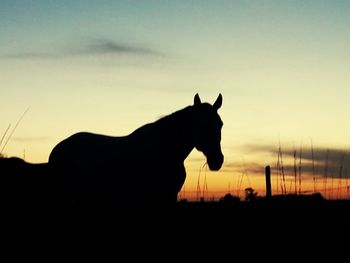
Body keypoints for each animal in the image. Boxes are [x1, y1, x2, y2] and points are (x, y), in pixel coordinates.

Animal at [47, 93, 223, 210]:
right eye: (200, 124)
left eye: (220, 124)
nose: (217, 160)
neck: (165, 149)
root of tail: (57, 149)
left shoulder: (169, 197)